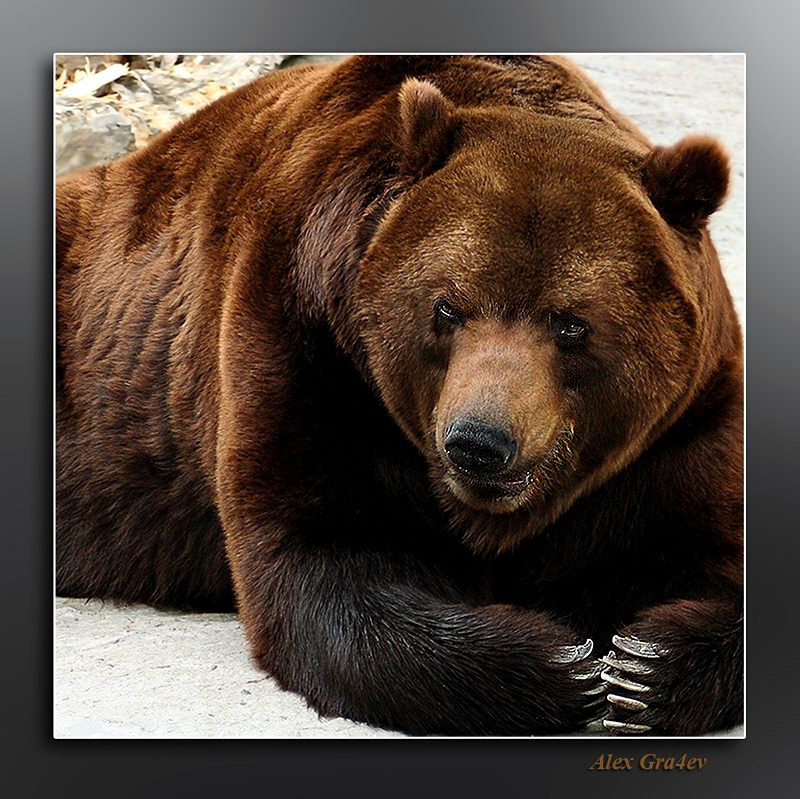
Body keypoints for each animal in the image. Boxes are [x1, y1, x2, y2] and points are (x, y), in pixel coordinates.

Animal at [56, 55, 743, 736]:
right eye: (448, 307)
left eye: (571, 324)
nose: (479, 441)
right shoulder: (312, 347)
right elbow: (324, 556)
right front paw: (561, 667)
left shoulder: (677, 429)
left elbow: (706, 550)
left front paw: (642, 667)